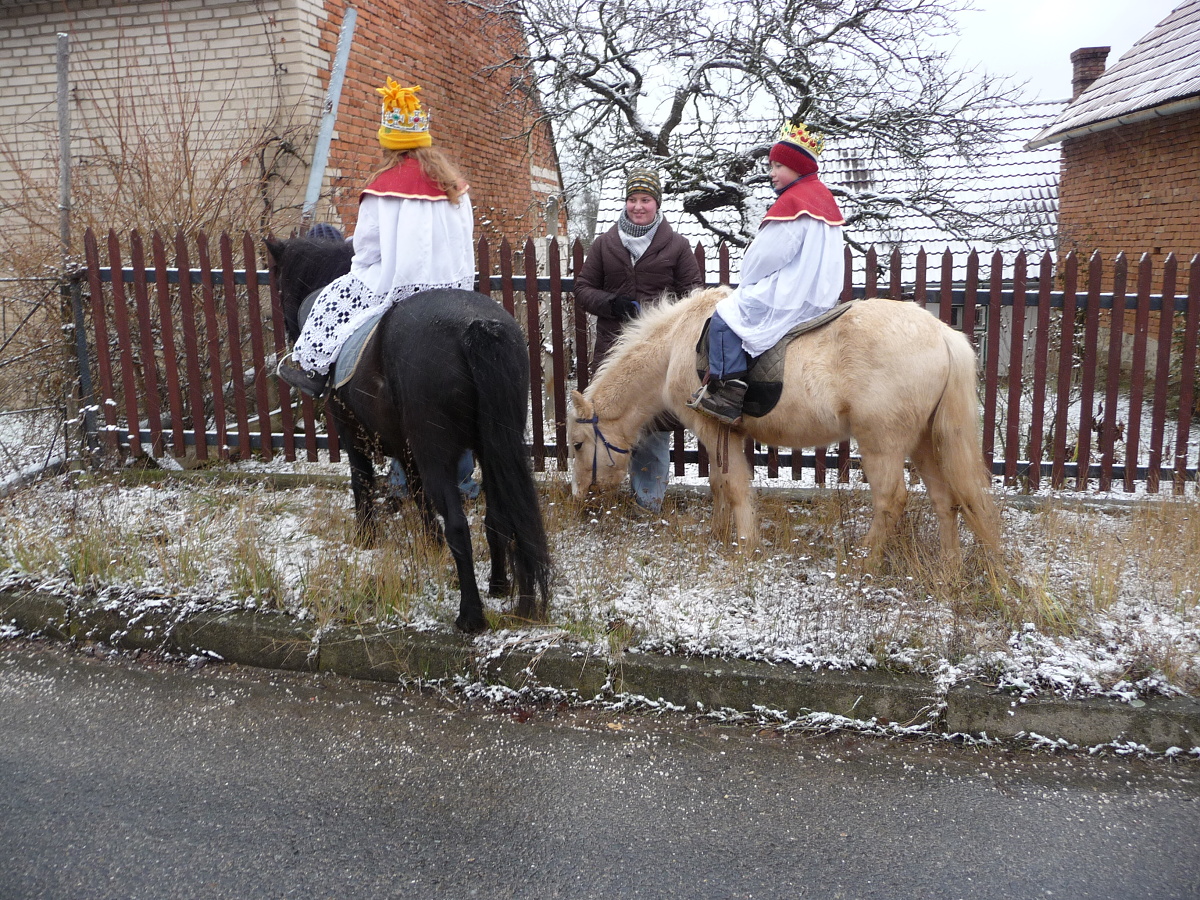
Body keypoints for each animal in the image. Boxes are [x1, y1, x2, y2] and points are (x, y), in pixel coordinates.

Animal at [265, 236, 551, 632]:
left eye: (278, 287)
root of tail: (477, 325)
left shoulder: (351, 432)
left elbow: (362, 482)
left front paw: (366, 539)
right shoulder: (408, 448)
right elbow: (417, 496)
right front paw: (429, 545)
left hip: (437, 452)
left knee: (459, 525)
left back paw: (470, 615)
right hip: (492, 447)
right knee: (498, 516)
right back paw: (502, 588)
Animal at [568, 287, 1000, 565]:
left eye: (576, 444)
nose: (580, 497)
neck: (677, 343)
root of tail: (942, 334)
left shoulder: (712, 429)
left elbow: (735, 488)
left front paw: (745, 546)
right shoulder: (722, 436)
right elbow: (719, 484)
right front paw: (718, 536)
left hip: (883, 444)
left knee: (891, 501)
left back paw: (864, 562)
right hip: (924, 442)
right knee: (946, 500)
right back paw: (949, 570)